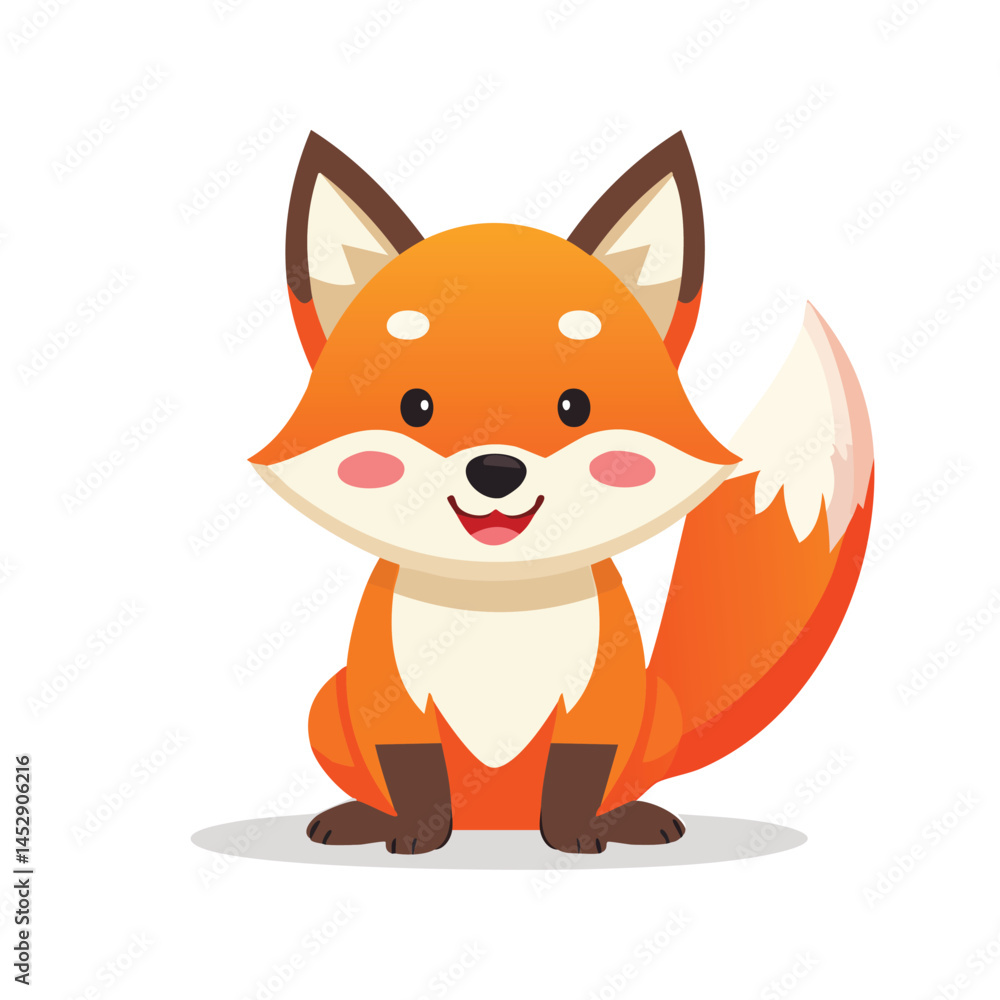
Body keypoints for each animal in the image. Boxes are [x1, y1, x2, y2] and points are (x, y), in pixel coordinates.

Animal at [250, 131, 874, 855]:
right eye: (415, 406)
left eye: (574, 406)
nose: (496, 470)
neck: (497, 603)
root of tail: (499, 823)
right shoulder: (389, 697)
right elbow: (413, 771)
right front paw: (419, 834)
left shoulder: (601, 697)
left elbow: (580, 770)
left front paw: (575, 836)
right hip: (327, 704)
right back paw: (364, 819)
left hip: (654, 713)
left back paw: (630, 818)